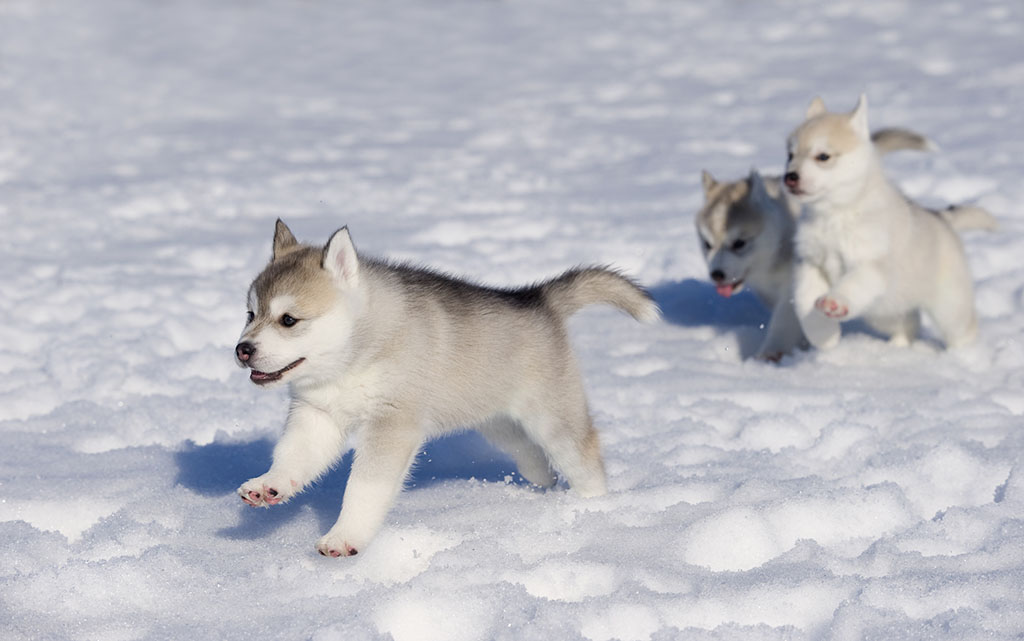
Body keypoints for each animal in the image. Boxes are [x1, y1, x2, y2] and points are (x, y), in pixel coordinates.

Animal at [235, 218, 659, 552]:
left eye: (289, 320)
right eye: (250, 314)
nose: (242, 350)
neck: (353, 357)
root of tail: (536, 299)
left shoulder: (392, 424)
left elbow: (364, 487)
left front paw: (344, 537)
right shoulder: (317, 414)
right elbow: (293, 456)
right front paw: (269, 485)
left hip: (555, 419)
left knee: (585, 460)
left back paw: (594, 509)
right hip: (499, 422)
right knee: (532, 456)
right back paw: (544, 483)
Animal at [782, 96, 991, 350]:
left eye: (823, 156)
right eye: (790, 155)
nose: (790, 177)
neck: (835, 215)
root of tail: (941, 217)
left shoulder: (871, 265)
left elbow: (852, 283)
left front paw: (835, 302)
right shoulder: (810, 263)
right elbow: (805, 298)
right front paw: (823, 336)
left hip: (949, 306)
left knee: (963, 330)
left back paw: (964, 354)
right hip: (883, 312)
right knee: (909, 323)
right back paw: (897, 348)